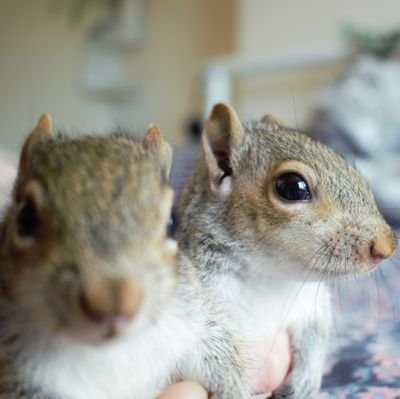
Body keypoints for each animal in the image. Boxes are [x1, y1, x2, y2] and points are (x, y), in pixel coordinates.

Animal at [177, 104, 398, 399]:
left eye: (354, 170)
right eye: (293, 186)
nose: (387, 246)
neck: (270, 278)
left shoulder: (311, 307)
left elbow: (315, 336)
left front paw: (305, 381)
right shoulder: (194, 306)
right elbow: (213, 355)